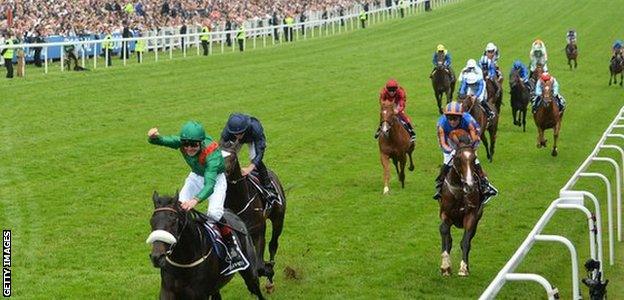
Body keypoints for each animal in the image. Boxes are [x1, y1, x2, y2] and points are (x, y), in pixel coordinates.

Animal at [221, 141, 286, 292]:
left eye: (233, 157)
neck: (239, 201)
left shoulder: (258, 232)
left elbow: (260, 266)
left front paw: (269, 270)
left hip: (278, 219)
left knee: (273, 244)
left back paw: (270, 278)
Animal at [436, 133, 486, 276]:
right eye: (457, 158)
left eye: (474, 159)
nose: (469, 185)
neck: (459, 191)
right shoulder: (445, 213)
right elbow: (444, 232)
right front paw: (445, 266)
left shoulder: (471, 216)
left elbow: (465, 242)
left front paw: (464, 268)